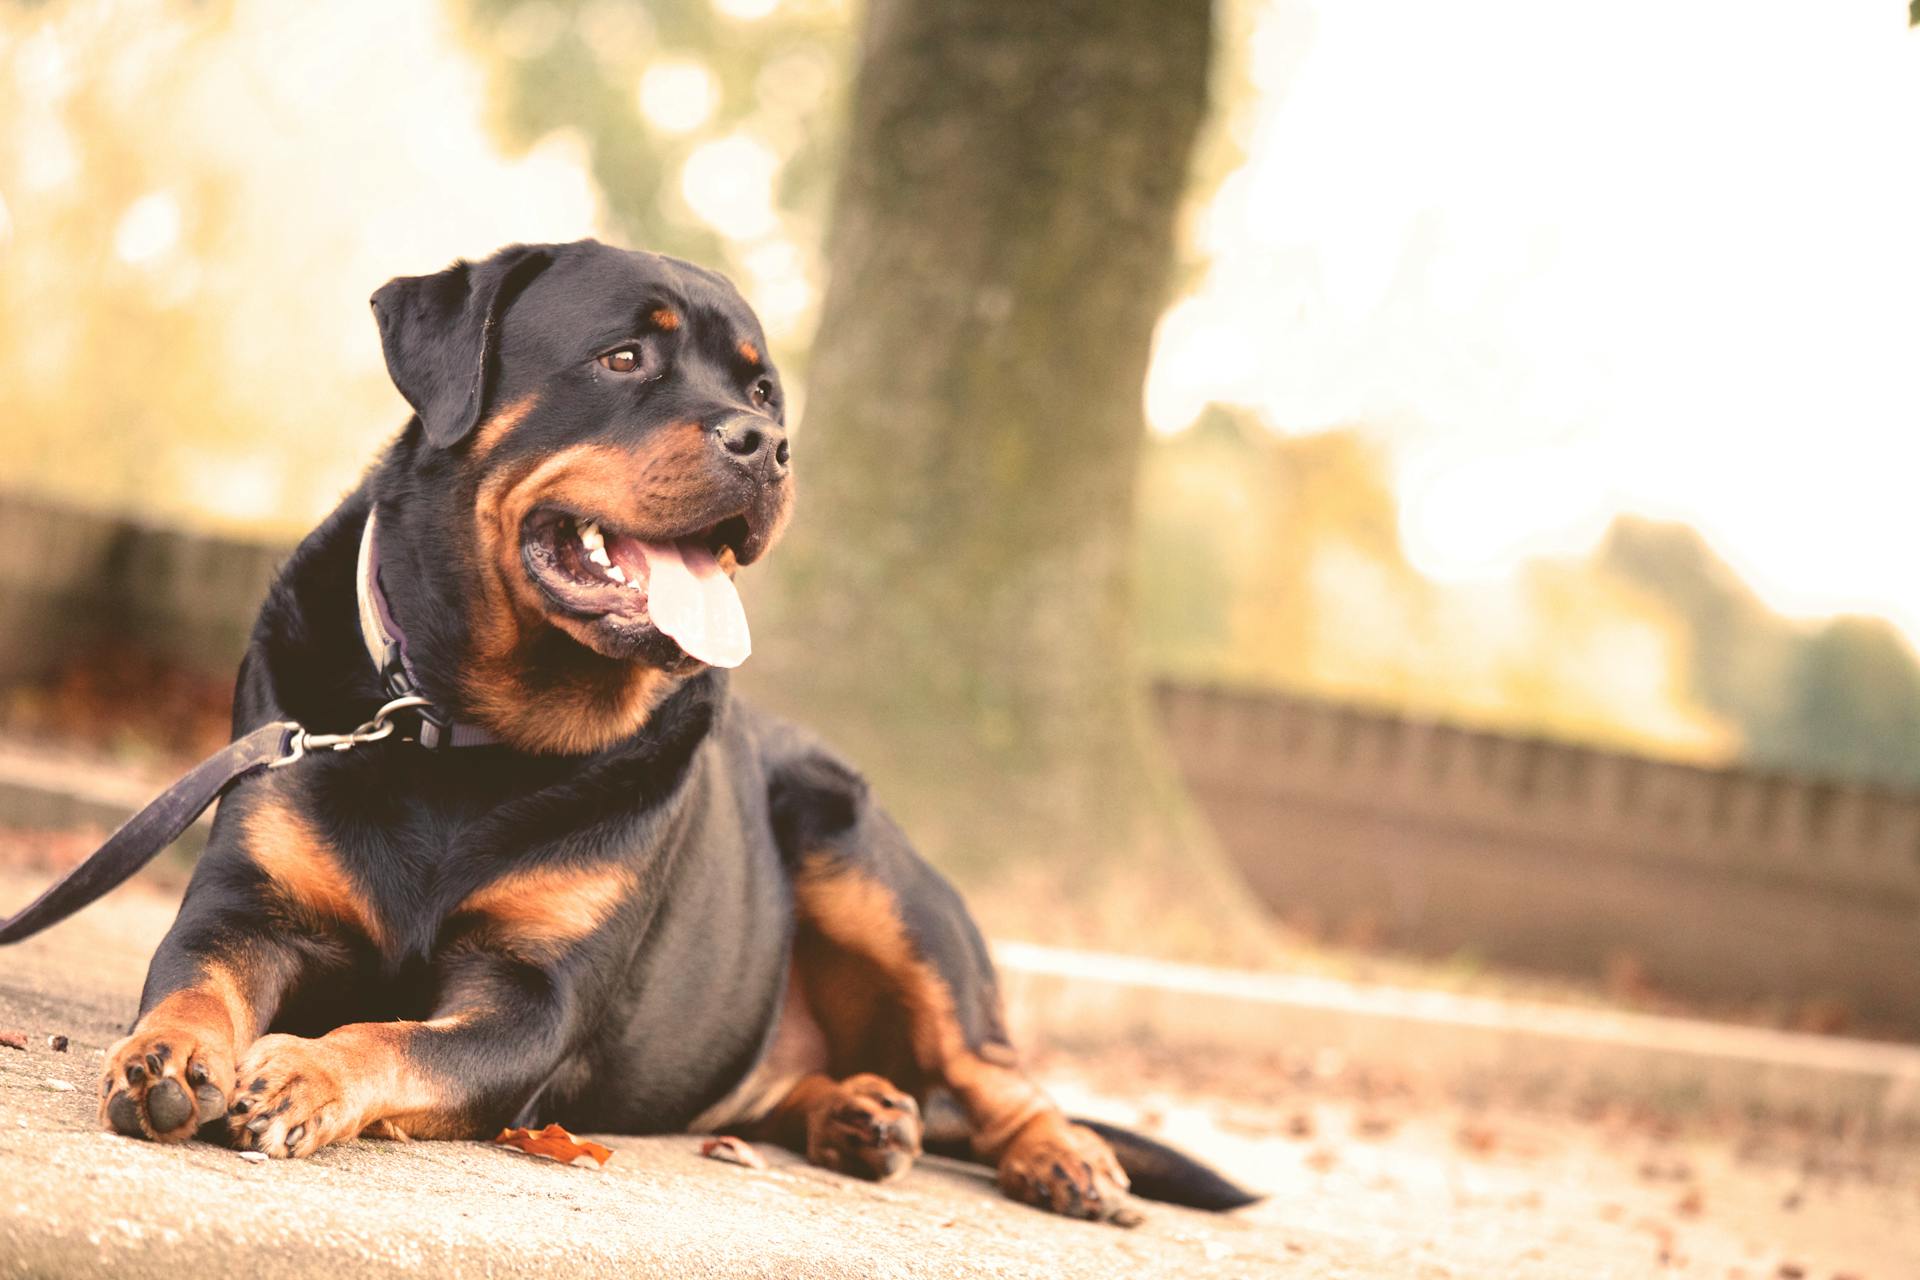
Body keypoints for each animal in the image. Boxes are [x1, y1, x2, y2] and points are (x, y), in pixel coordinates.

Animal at [97, 237, 1251, 1220]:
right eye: (623, 357)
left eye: (761, 390)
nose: (767, 443)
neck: (460, 728)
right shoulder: (246, 906)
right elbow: (194, 978)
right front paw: (169, 1059)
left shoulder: (533, 1001)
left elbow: (394, 1036)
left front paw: (303, 1066)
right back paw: (861, 1111)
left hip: (865, 863)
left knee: (994, 1069)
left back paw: (1061, 1155)